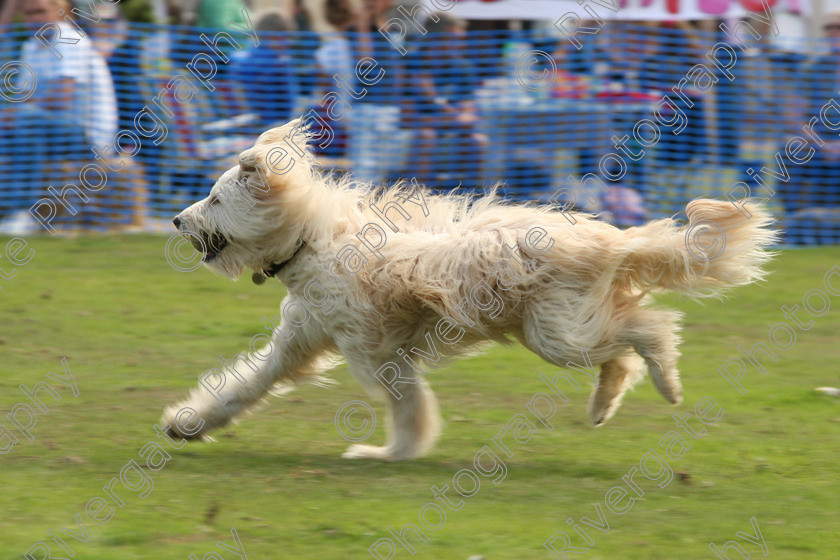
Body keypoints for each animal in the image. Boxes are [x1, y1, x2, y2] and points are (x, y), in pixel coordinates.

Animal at [161, 120, 776, 462]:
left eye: (214, 199)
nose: (175, 219)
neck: (314, 240)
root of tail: (608, 237)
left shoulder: (383, 356)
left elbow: (409, 409)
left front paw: (392, 453)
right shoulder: (300, 342)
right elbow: (244, 386)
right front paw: (189, 423)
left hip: (557, 332)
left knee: (649, 329)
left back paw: (666, 382)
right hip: (568, 323)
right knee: (623, 350)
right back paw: (603, 406)